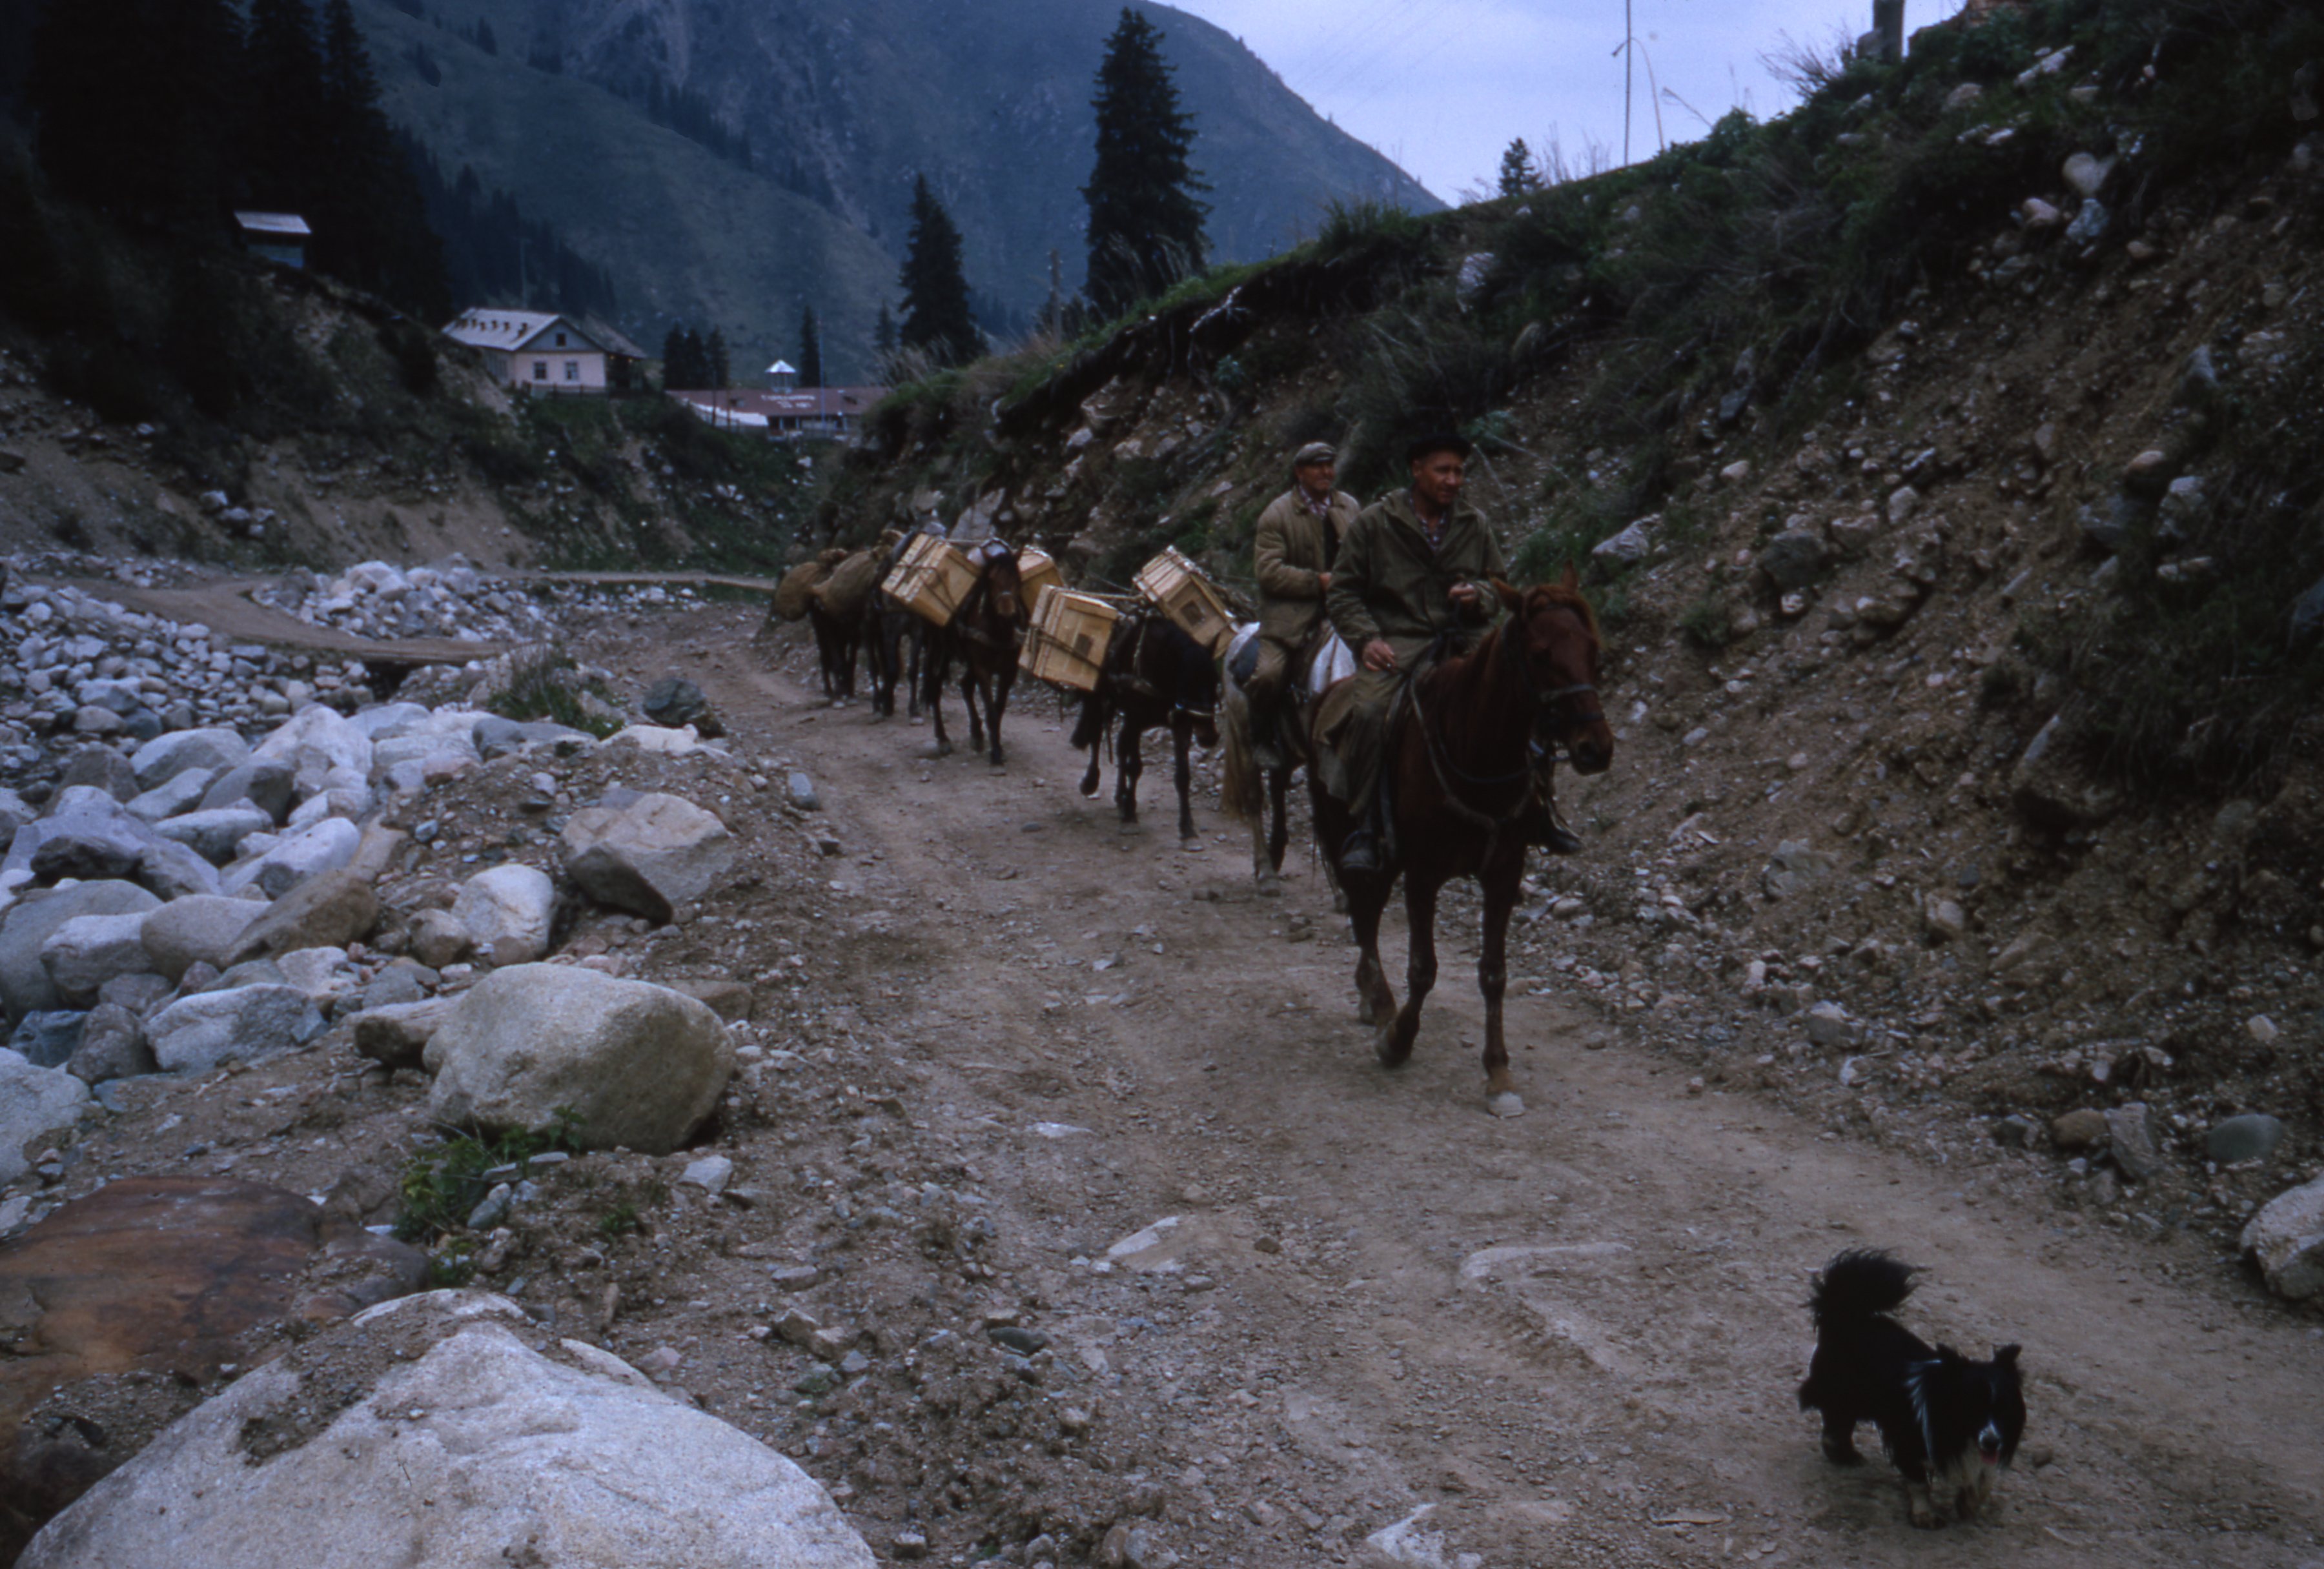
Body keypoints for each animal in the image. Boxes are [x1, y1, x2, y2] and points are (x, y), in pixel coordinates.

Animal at [924, 546, 1028, 764]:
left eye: (1018, 578)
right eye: (991, 579)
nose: (1008, 615)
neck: (999, 631)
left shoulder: (1009, 671)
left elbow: (999, 709)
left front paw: (996, 745)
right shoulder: (982, 669)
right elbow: (991, 711)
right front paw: (996, 753)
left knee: (965, 685)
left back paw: (977, 736)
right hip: (940, 651)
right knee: (936, 688)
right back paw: (943, 739)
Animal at [1070, 612, 1220, 845]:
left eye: (1215, 682)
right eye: (1188, 681)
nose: (1209, 738)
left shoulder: (1180, 725)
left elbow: (1183, 776)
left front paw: (1187, 826)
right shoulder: (1136, 719)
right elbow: (1135, 767)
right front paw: (1130, 812)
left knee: (1120, 746)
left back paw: (1119, 796)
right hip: (1104, 700)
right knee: (1097, 737)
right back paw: (1091, 782)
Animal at [1308, 568, 1614, 1119]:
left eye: (1592, 650)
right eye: (1541, 654)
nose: (1594, 750)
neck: (1476, 749)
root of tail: (1326, 696)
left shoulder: (1503, 874)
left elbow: (1494, 973)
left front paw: (1498, 1073)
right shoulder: (1423, 874)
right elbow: (1423, 968)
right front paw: (1398, 1040)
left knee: (1366, 915)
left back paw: (1372, 1000)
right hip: (1354, 842)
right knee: (1364, 916)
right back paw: (1379, 1002)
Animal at [1797, 1248, 2025, 1527]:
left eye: (2003, 1407)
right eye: (1972, 1408)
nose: (1992, 1442)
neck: (1960, 1433)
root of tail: (1846, 1313)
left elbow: (1982, 1479)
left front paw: (1969, 1504)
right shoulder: (1908, 1438)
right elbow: (1918, 1481)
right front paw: (1924, 1515)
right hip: (1844, 1392)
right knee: (1836, 1421)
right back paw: (1843, 1454)